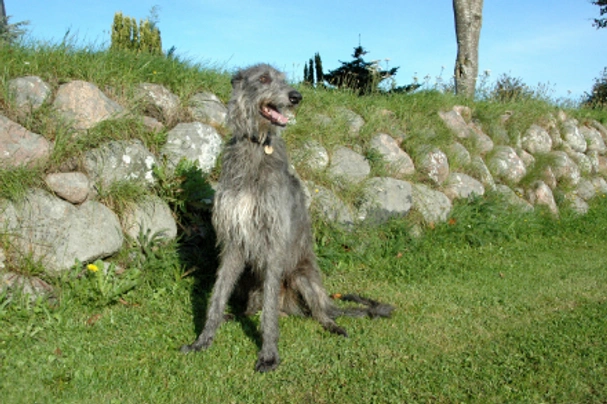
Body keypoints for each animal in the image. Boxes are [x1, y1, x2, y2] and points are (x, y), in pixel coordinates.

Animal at [180, 64, 394, 372]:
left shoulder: (274, 240)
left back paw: (332, 324)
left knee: (319, 312)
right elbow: (218, 295)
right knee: (254, 308)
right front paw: (203, 340)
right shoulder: (234, 239)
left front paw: (269, 355)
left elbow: (268, 313)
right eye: (264, 79)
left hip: (303, 278)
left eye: (284, 80)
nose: (296, 97)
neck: (257, 146)